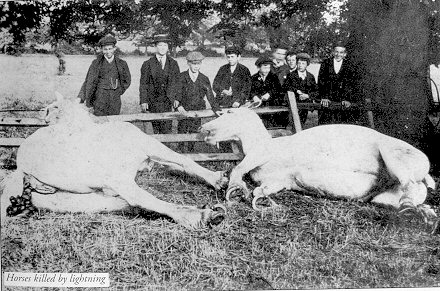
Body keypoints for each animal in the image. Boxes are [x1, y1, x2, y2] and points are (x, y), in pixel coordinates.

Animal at [0, 94, 227, 229]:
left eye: (51, 108)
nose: (42, 117)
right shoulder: (118, 181)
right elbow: (147, 198)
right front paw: (200, 215)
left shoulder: (149, 147)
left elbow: (183, 161)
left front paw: (219, 180)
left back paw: (20, 205)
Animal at [201, 108, 438, 234]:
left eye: (229, 113)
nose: (203, 128)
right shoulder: (279, 180)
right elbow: (260, 191)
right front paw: (263, 202)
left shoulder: (260, 154)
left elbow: (238, 169)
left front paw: (235, 191)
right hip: (386, 197)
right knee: (410, 197)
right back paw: (426, 215)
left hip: (394, 156)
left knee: (408, 184)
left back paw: (418, 215)